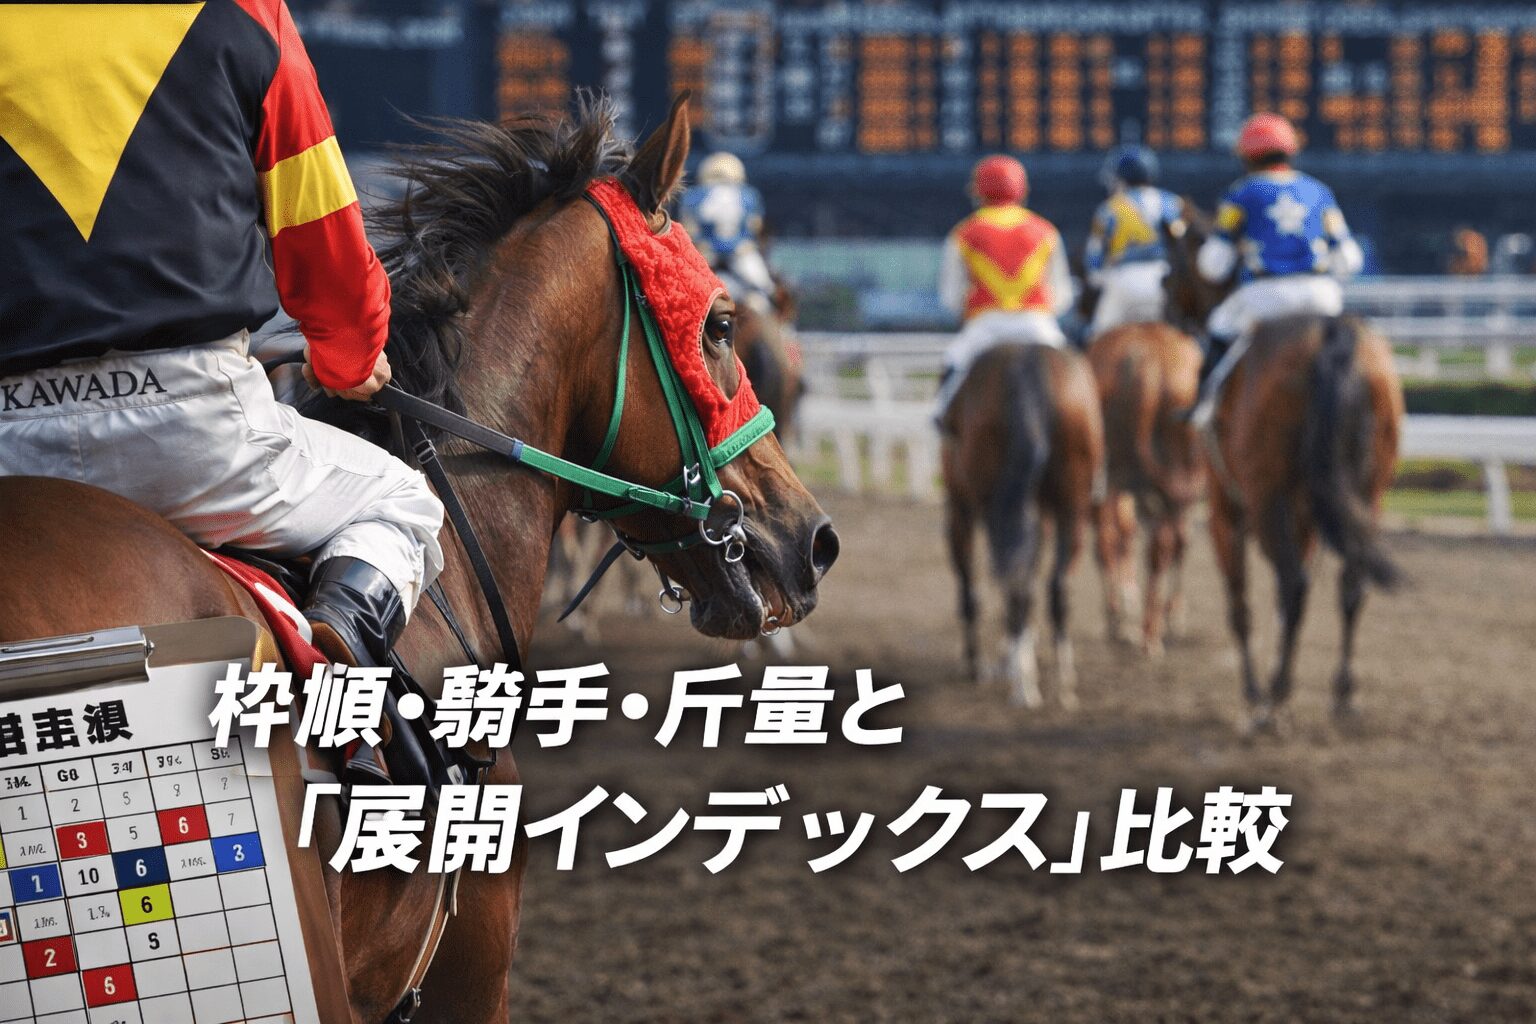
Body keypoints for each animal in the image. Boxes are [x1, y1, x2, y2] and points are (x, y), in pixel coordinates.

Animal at [940, 342, 1105, 709]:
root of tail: (1027, 365)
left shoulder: (960, 510)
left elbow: (970, 589)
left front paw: (978, 663)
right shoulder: (1038, 515)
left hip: (988, 506)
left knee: (1011, 586)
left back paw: (1021, 684)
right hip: (1072, 505)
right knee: (1054, 587)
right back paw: (1061, 683)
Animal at [1086, 320, 1204, 657]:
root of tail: (1146, 364)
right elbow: (1179, 541)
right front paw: (1171, 614)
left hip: (1115, 472)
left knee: (1113, 540)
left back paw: (1128, 624)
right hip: (1169, 475)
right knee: (1166, 543)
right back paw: (1154, 629)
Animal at [1163, 204, 1404, 732]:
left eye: (1168, 271)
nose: (1168, 314)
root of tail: (1334, 335)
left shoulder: (1228, 509)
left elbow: (1243, 603)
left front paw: (1257, 696)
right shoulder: (1306, 512)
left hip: (1266, 494)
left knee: (1293, 586)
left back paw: (1268, 699)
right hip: (1368, 490)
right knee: (1350, 582)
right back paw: (1341, 694)